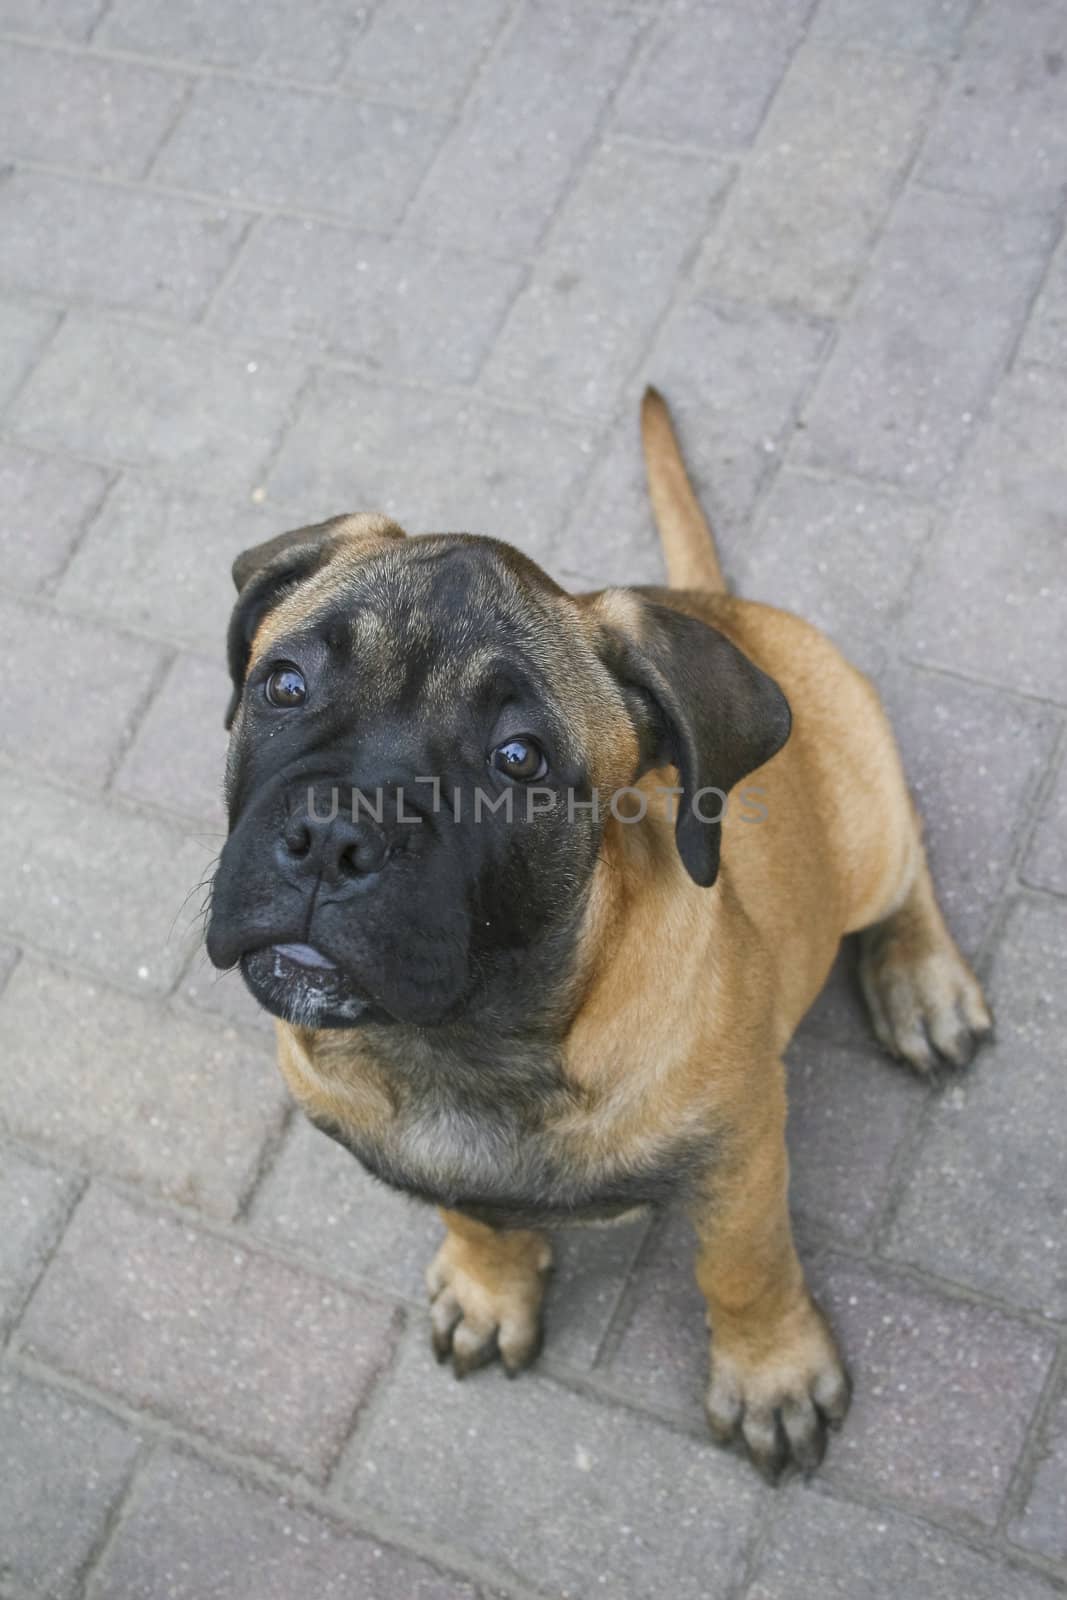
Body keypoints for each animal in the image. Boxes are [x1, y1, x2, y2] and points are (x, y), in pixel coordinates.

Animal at [206, 384, 991, 1472]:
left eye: (519, 758)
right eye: (283, 685)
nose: (330, 839)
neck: (466, 1045)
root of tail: (722, 610)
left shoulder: (741, 1155)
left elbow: (743, 1267)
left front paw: (772, 1374)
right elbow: (472, 1213)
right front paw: (489, 1285)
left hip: (867, 826)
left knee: (906, 860)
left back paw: (921, 983)